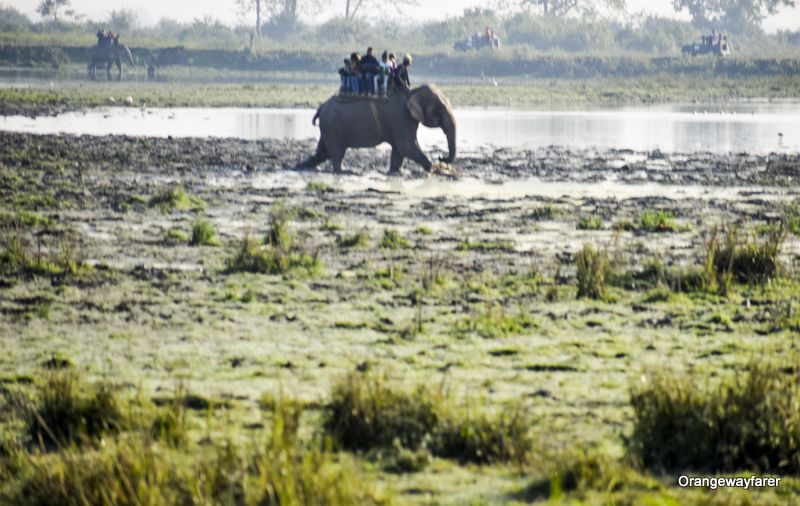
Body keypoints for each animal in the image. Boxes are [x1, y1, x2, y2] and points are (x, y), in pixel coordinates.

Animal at [296, 84, 460, 175]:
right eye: (440, 109)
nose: (441, 157)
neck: (413, 91)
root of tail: (321, 107)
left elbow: (399, 150)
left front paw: (395, 172)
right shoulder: (401, 117)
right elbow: (407, 146)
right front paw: (434, 169)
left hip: (328, 127)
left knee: (322, 152)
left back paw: (300, 166)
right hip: (332, 126)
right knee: (336, 153)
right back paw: (345, 171)